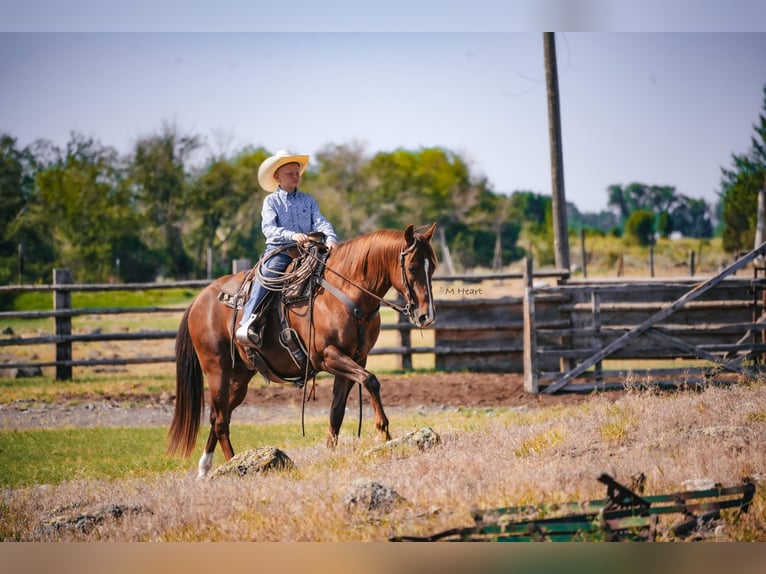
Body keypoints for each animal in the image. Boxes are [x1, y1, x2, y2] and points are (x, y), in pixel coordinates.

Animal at [167, 223, 437, 477]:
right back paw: (235, 464)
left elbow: (336, 412)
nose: (427, 316)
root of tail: (200, 299)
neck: (344, 294)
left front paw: (331, 454)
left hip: (240, 377)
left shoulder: (356, 360)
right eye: (412, 267)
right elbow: (371, 381)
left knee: (218, 416)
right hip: (217, 371)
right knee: (221, 421)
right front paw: (385, 433)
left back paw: (205, 469)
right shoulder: (327, 356)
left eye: (432, 267)